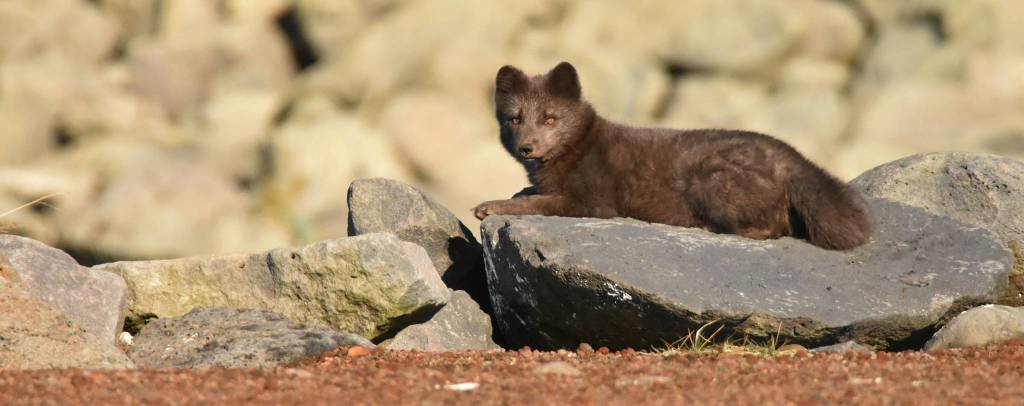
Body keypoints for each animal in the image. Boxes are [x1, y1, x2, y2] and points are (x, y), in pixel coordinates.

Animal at [472, 62, 874, 250]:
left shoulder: (593, 202)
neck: (579, 146)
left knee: (775, 227)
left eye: (550, 118)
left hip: (712, 181)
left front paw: (489, 205)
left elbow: (537, 203)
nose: (526, 147)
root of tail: (793, 158)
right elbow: (531, 194)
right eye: (515, 118)